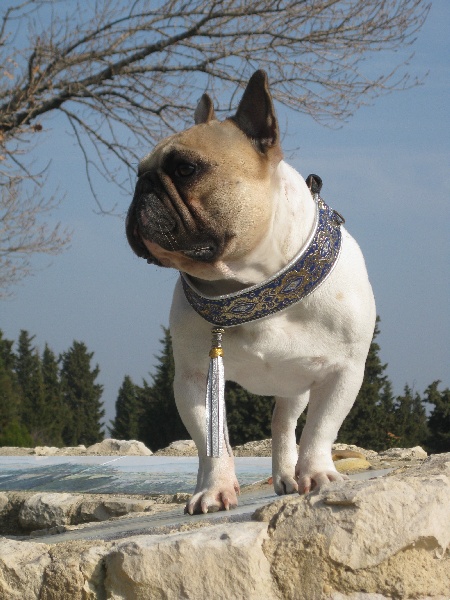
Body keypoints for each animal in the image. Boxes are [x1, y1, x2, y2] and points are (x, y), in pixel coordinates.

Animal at [126, 70, 376, 515]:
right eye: (137, 172)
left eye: (186, 169)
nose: (142, 186)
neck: (252, 286)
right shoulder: (194, 379)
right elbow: (212, 443)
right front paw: (213, 489)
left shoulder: (343, 371)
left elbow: (321, 429)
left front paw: (318, 474)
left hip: (297, 382)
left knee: (284, 423)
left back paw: (290, 475)